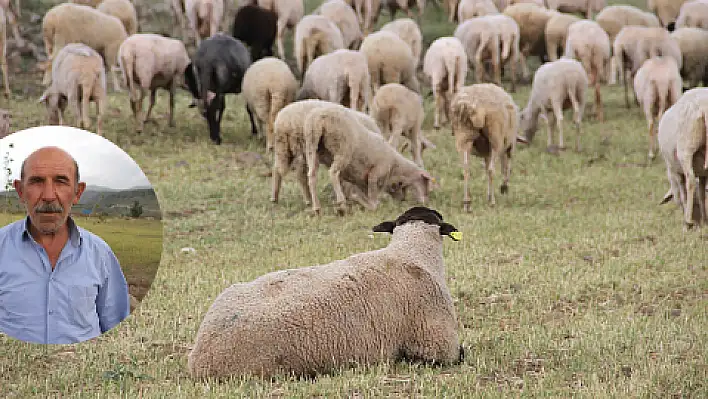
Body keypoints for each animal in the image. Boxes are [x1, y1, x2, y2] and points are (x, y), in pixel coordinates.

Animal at [300, 104, 432, 214]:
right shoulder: (375, 174)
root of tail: (319, 118)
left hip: (312, 147)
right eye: (425, 183)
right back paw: (341, 203)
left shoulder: (363, 180)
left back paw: (317, 208)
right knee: (333, 173)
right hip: (343, 149)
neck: (395, 165)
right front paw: (366, 203)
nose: (426, 203)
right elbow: (373, 198)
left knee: (312, 176)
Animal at [450, 83, 516, 211]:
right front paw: (497, 191)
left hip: (463, 136)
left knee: (466, 169)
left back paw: (467, 202)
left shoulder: (487, 153)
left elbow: (486, 168)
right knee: (491, 170)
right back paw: (492, 202)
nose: (504, 190)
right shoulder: (508, 145)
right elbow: (502, 167)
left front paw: (489, 194)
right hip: (495, 137)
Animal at [660, 89, 708, 230]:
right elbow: (702, 193)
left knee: (690, 180)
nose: (697, 220)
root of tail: (704, 107)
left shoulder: (675, 172)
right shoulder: (703, 173)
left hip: (685, 149)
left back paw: (687, 221)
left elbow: (683, 193)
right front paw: (704, 220)